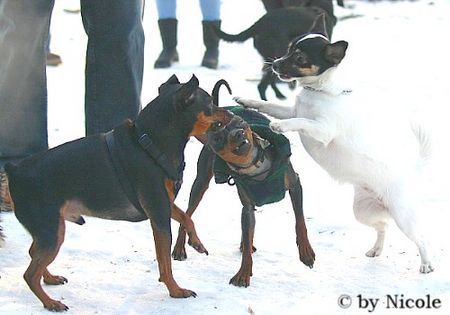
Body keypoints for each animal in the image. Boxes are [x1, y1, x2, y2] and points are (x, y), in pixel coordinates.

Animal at [0, 75, 232, 312]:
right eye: (210, 105)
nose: (231, 114)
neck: (150, 142)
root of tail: (14, 170)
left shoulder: (163, 204)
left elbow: (186, 217)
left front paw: (196, 242)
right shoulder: (158, 214)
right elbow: (164, 261)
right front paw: (175, 290)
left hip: (50, 231)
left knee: (33, 256)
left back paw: (50, 278)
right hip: (51, 231)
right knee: (30, 274)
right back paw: (51, 302)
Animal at [171, 81, 314, 288]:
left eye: (239, 123)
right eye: (219, 138)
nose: (238, 133)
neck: (255, 166)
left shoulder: (295, 184)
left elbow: (300, 221)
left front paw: (306, 252)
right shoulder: (247, 205)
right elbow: (248, 231)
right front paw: (243, 274)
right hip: (201, 182)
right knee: (188, 213)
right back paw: (179, 249)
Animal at [236, 15, 436, 274]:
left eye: (299, 58)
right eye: (289, 49)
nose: (275, 65)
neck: (319, 91)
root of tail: (411, 172)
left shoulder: (323, 130)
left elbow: (300, 121)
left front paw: (280, 126)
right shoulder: (291, 110)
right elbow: (269, 105)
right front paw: (246, 100)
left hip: (404, 216)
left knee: (420, 238)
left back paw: (426, 263)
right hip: (363, 211)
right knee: (383, 227)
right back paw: (376, 249)